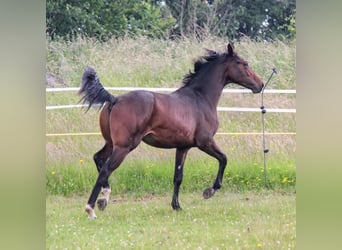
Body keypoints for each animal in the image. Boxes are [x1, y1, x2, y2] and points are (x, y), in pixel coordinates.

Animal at [79, 43, 264, 219]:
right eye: (244, 63)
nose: (260, 85)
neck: (200, 98)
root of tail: (114, 99)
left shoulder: (182, 147)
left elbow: (178, 177)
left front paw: (176, 206)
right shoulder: (205, 142)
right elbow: (224, 159)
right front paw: (209, 191)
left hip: (111, 143)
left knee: (98, 159)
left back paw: (103, 199)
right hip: (124, 147)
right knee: (105, 170)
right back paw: (91, 209)